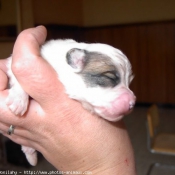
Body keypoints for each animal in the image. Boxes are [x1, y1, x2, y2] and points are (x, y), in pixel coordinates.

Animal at [5, 39, 135, 166]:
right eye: (110, 78)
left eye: (129, 82)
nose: (132, 103)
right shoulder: (14, 62)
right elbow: (18, 79)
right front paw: (18, 100)